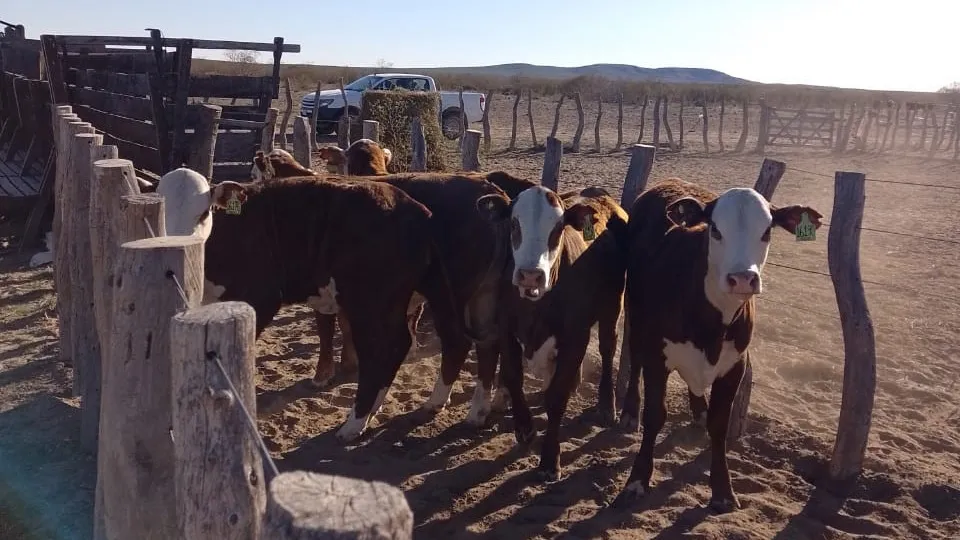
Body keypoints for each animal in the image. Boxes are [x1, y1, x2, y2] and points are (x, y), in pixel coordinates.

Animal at [475, 185, 628, 455]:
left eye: (558, 228)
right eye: (514, 224)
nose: (530, 275)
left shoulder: (576, 335)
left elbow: (557, 396)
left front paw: (549, 457)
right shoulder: (506, 328)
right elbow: (513, 375)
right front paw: (524, 428)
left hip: (613, 304)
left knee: (608, 348)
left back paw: (607, 406)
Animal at [617, 177, 822, 513]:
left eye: (767, 230)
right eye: (715, 229)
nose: (742, 279)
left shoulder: (734, 365)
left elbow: (719, 425)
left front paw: (723, 491)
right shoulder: (657, 355)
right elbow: (655, 415)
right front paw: (637, 480)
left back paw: (698, 409)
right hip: (634, 310)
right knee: (633, 359)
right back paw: (629, 412)